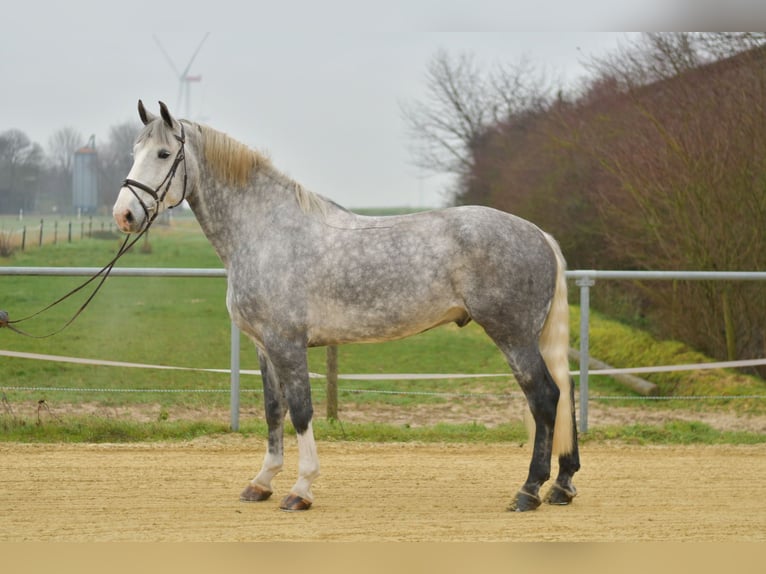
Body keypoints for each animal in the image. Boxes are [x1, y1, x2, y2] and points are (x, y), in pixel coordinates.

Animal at [113, 100, 580, 512]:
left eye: (163, 153)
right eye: (134, 152)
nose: (124, 214)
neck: (265, 232)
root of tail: (538, 234)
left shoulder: (287, 344)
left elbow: (301, 411)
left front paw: (301, 489)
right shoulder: (264, 347)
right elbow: (273, 410)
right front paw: (261, 482)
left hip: (513, 336)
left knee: (545, 398)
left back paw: (529, 491)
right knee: (562, 395)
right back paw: (562, 485)